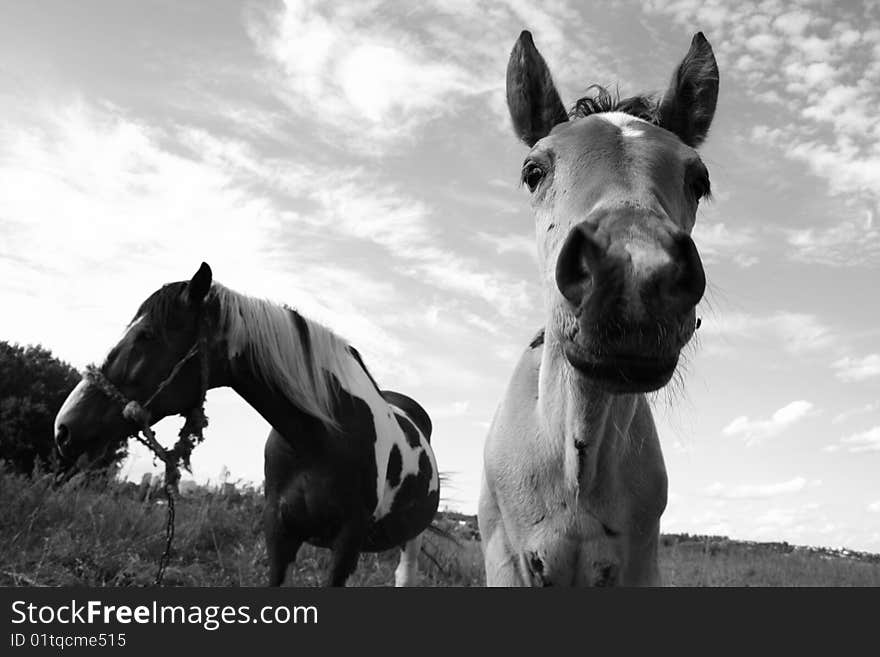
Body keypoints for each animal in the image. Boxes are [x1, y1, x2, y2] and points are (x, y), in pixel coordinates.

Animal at [53, 264, 438, 588]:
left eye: (146, 335)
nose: (63, 428)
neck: (321, 439)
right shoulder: (279, 535)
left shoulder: (347, 544)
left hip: (411, 538)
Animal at [478, 30, 720, 588]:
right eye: (533, 172)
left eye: (699, 180)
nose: (635, 274)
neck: (576, 474)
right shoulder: (506, 558)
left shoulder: (639, 561)